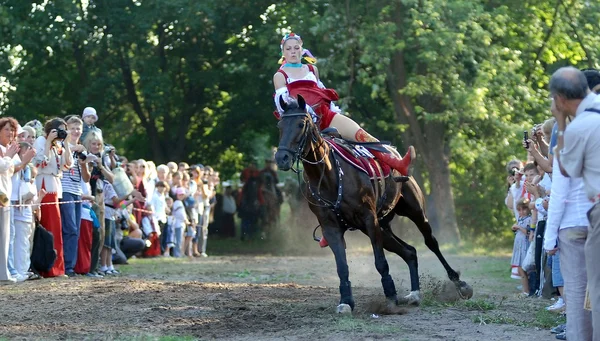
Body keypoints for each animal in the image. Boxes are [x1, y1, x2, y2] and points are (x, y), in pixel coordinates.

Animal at [274, 95, 474, 314]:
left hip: (414, 213)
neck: (329, 176)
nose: (281, 158)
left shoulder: (369, 219)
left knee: (431, 243)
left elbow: (381, 263)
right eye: (280, 125)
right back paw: (414, 293)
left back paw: (459, 284)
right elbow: (342, 267)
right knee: (409, 252)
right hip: (383, 226)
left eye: (301, 124)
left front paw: (391, 297)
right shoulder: (332, 227)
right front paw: (346, 301)